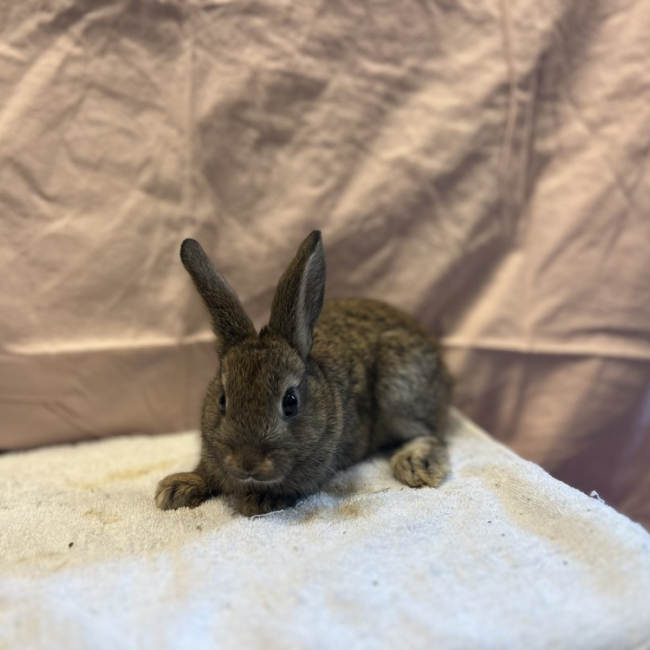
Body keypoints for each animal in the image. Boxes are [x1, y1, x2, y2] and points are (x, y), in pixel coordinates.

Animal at [155, 231, 452, 517]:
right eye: (222, 401)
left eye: (290, 402)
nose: (247, 462)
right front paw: (175, 490)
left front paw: (258, 501)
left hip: (399, 392)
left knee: (429, 433)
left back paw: (415, 465)